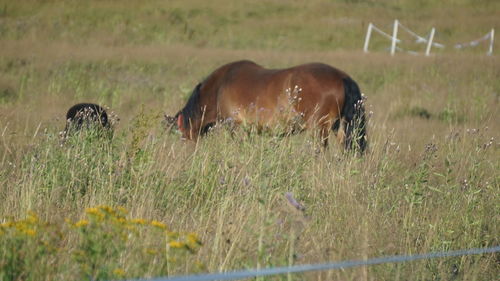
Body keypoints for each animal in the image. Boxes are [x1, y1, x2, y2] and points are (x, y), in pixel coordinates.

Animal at [168, 59, 368, 151]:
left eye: (181, 131)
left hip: (319, 129)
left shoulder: (235, 127)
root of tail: (342, 77)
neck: (219, 87)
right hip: (339, 128)